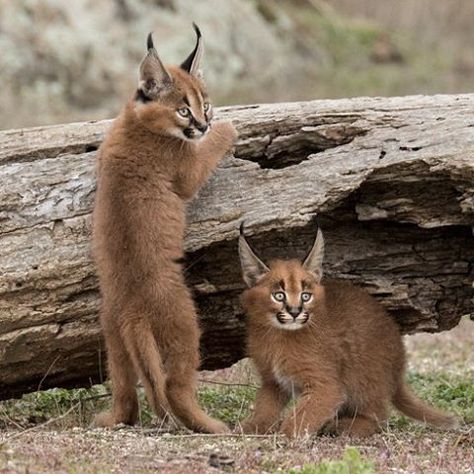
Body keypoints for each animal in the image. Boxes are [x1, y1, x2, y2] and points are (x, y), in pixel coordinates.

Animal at [92, 25, 237, 434]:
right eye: (184, 109)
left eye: (205, 104)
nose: (203, 123)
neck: (137, 121)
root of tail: (131, 311)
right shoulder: (187, 171)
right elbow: (208, 149)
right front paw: (228, 128)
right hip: (185, 324)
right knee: (175, 387)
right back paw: (213, 425)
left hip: (113, 338)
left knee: (125, 391)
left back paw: (113, 417)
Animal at [239, 223, 458, 436]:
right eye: (279, 295)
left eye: (305, 296)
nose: (294, 312)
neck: (277, 335)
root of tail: (399, 364)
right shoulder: (272, 380)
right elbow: (265, 405)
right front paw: (254, 426)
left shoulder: (326, 386)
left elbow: (302, 416)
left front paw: (285, 435)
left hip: (362, 374)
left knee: (379, 417)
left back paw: (345, 427)